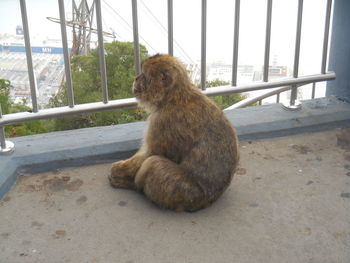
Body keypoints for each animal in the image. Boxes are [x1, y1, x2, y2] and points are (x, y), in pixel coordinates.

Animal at [109, 54, 239, 212]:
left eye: (144, 75)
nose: (136, 78)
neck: (172, 97)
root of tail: (206, 201)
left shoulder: (163, 121)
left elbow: (152, 153)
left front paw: (121, 169)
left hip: (182, 192)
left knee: (154, 163)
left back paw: (133, 185)